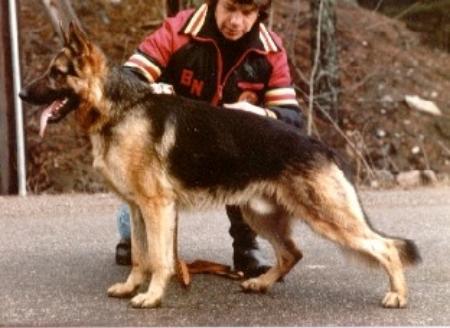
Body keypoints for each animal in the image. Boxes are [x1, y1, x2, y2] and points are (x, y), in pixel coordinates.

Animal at [20, 24, 422, 308]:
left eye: (57, 73)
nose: (22, 94)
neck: (120, 108)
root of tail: (321, 145)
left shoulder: (157, 208)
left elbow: (160, 259)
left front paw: (151, 296)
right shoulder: (137, 209)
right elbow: (139, 256)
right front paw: (132, 287)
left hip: (327, 217)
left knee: (386, 247)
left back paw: (398, 295)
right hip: (259, 214)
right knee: (292, 253)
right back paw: (260, 283)